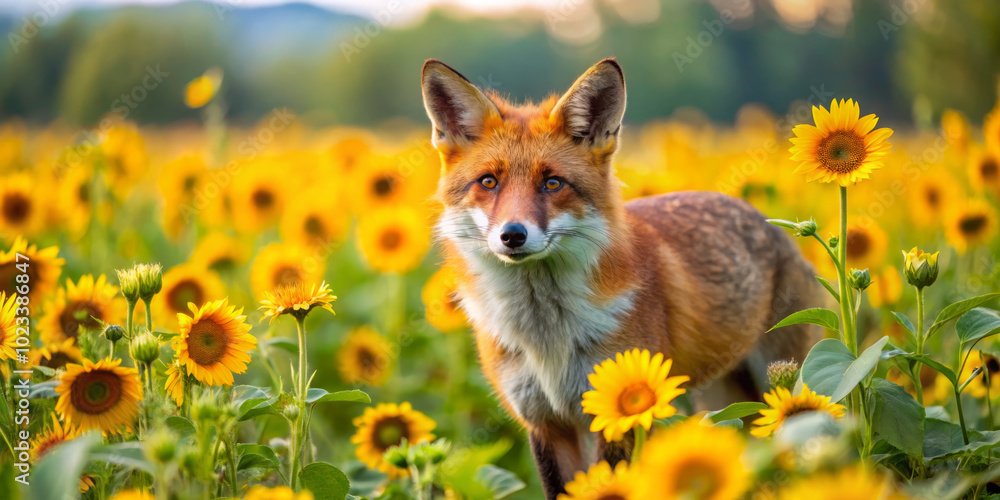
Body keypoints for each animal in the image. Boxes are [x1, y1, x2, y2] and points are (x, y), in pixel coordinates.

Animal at [420, 58, 820, 498]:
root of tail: (767, 221)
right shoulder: (546, 423)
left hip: (785, 385)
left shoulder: (618, 411)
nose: (512, 235)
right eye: (489, 182)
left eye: (552, 183)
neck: (548, 338)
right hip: (726, 403)